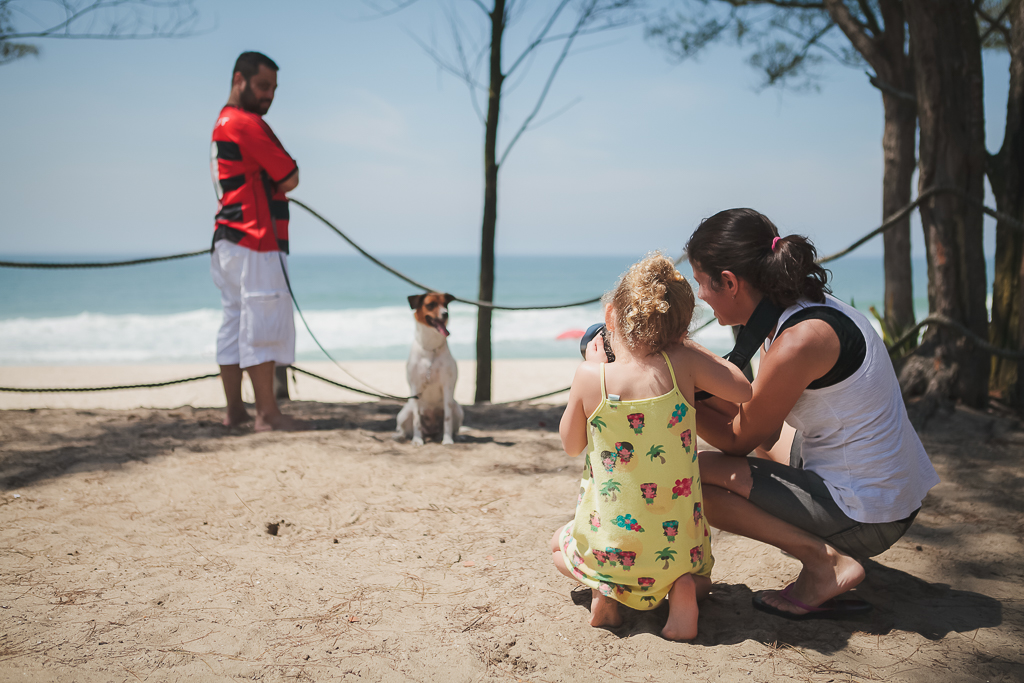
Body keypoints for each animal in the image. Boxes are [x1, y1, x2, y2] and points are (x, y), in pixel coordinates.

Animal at [395, 290, 464, 446]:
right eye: (430, 304)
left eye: (445, 305)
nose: (445, 314)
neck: (430, 350)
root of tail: (430, 433)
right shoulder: (415, 386)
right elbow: (416, 421)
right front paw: (417, 440)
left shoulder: (447, 386)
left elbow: (447, 419)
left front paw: (448, 440)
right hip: (404, 413)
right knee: (404, 428)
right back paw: (402, 436)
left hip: (458, 409)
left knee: (452, 424)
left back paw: (451, 436)